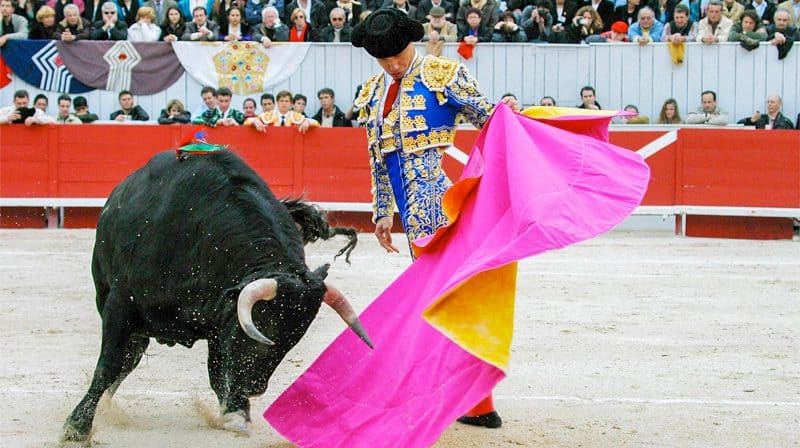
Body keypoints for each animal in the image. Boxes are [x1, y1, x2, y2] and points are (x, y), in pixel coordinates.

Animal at [63, 150, 376, 440]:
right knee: (127, 357)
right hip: (109, 298)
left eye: (294, 339)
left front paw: (236, 414)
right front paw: (75, 428)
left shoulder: (220, 327)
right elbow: (108, 365)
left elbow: (218, 372)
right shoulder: (121, 307)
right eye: (262, 324)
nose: (253, 388)